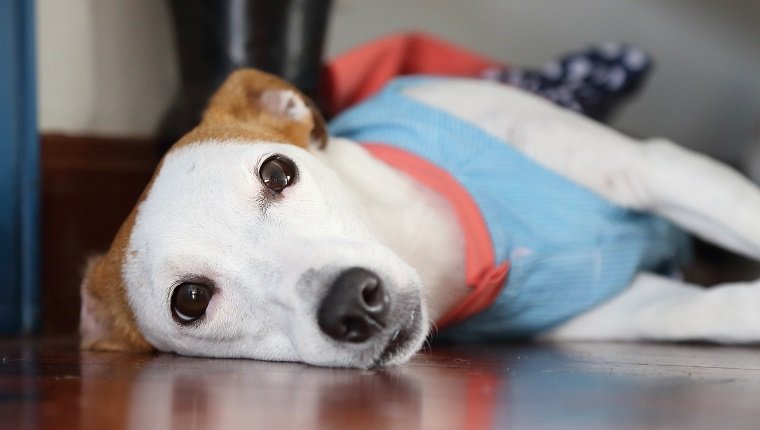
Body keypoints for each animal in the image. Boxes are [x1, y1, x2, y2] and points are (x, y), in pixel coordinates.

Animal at [78, 69, 760, 368]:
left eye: (276, 172)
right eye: (190, 300)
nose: (352, 303)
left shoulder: (654, 168)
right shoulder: (605, 309)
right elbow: (706, 311)